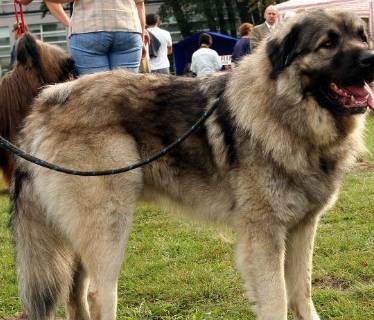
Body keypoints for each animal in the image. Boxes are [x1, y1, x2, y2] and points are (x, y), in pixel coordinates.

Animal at [10, 10, 372, 320]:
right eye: (328, 43)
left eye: (361, 37)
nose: (371, 59)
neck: (285, 113)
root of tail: (46, 101)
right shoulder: (265, 236)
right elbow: (277, 300)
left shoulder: (302, 228)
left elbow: (301, 293)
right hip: (108, 224)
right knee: (98, 295)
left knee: (75, 294)